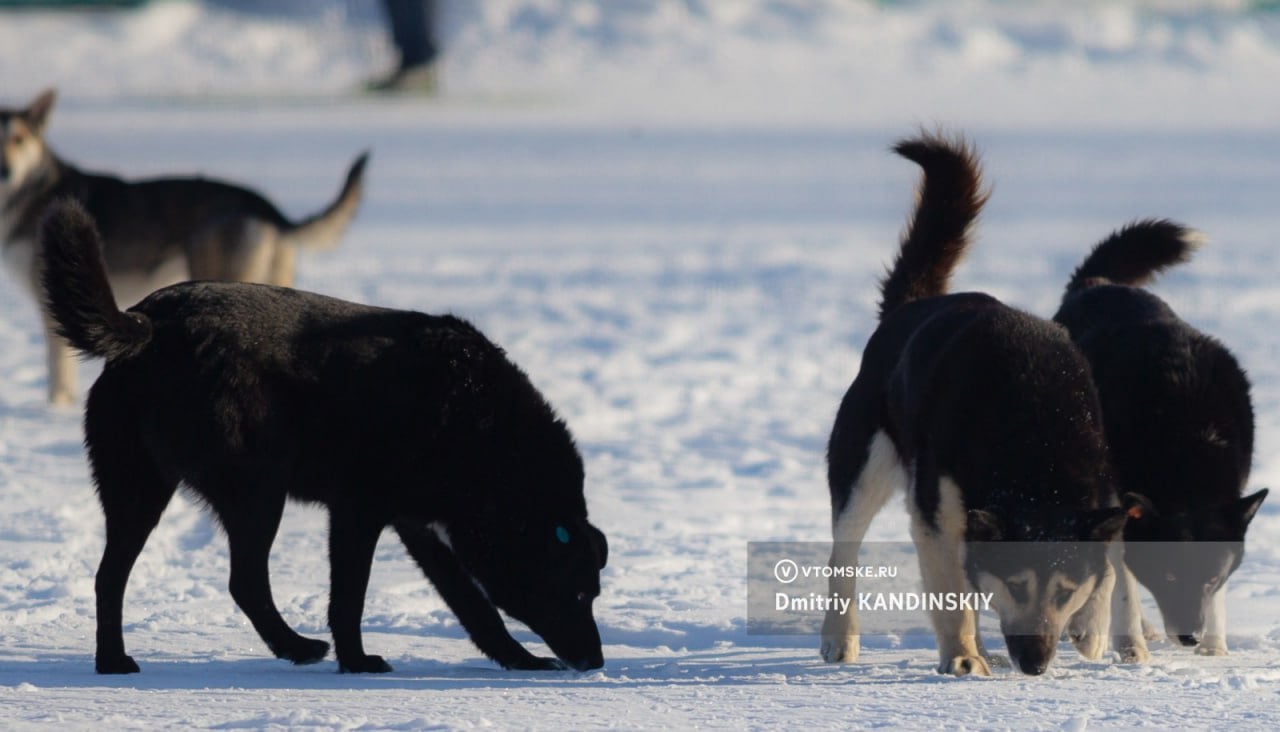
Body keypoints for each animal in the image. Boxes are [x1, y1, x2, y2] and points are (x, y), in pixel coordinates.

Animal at [2, 90, 368, 406]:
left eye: (18, 139)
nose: (6, 171)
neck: (29, 193)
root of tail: (265, 207)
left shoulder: (49, 304)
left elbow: (58, 372)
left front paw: (56, 408)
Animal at [35, 199, 604, 675]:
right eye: (580, 594)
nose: (596, 660)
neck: (478, 424)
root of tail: (147, 324)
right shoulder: (358, 512)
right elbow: (349, 598)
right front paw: (357, 663)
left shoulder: (420, 528)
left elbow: (475, 609)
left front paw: (519, 660)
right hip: (258, 490)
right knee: (243, 581)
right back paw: (297, 648)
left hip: (140, 490)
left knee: (110, 576)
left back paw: (113, 661)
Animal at [819, 134, 1131, 675]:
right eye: (1016, 586)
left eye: (1065, 592)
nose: (1035, 662)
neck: (1035, 443)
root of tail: (908, 308)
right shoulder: (936, 514)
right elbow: (951, 593)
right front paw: (962, 656)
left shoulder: (1098, 493)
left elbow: (1105, 565)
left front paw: (1091, 628)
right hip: (864, 467)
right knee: (846, 552)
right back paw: (842, 637)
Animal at [1054, 220, 1264, 660]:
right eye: (1168, 576)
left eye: (1210, 579)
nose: (1190, 638)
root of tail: (1097, 284)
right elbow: (1120, 583)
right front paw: (1129, 648)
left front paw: (1215, 647)